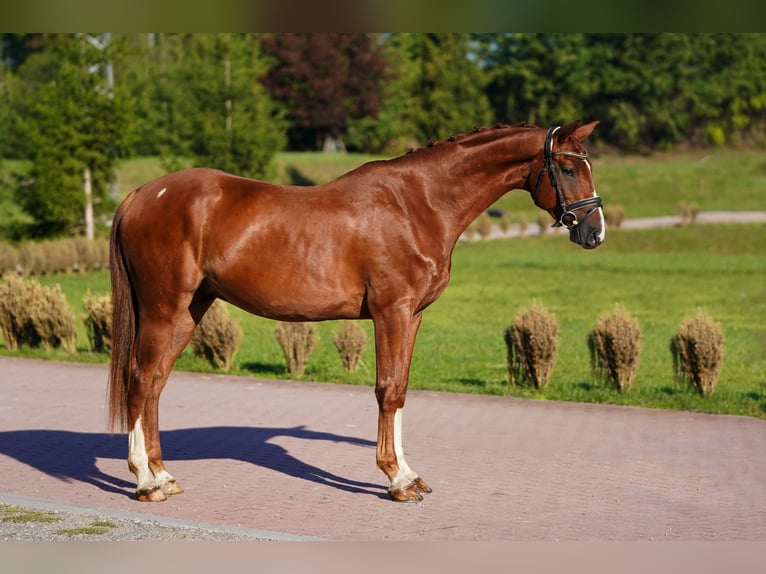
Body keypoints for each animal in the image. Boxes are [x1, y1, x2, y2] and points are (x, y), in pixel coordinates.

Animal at [106, 120, 608, 504]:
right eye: (567, 168)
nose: (595, 232)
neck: (417, 203)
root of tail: (142, 194)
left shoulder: (413, 316)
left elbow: (401, 389)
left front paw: (410, 474)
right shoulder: (392, 312)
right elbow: (387, 390)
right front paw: (397, 479)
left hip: (190, 309)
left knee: (155, 383)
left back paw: (163, 475)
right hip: (163, 306)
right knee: (140, 379)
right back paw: (146, 481)